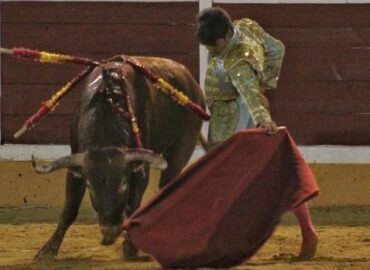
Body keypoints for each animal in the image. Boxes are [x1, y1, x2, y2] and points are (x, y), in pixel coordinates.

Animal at [31, 56, 205, 260]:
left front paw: (131, 247)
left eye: (123, 184)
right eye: (90, 186)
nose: (110, 232)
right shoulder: (76, 168)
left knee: (167, 184)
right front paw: (47, 250)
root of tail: (189, 78)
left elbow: (133, 206)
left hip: (182, 147)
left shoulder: (139, 168)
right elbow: (69, 209)